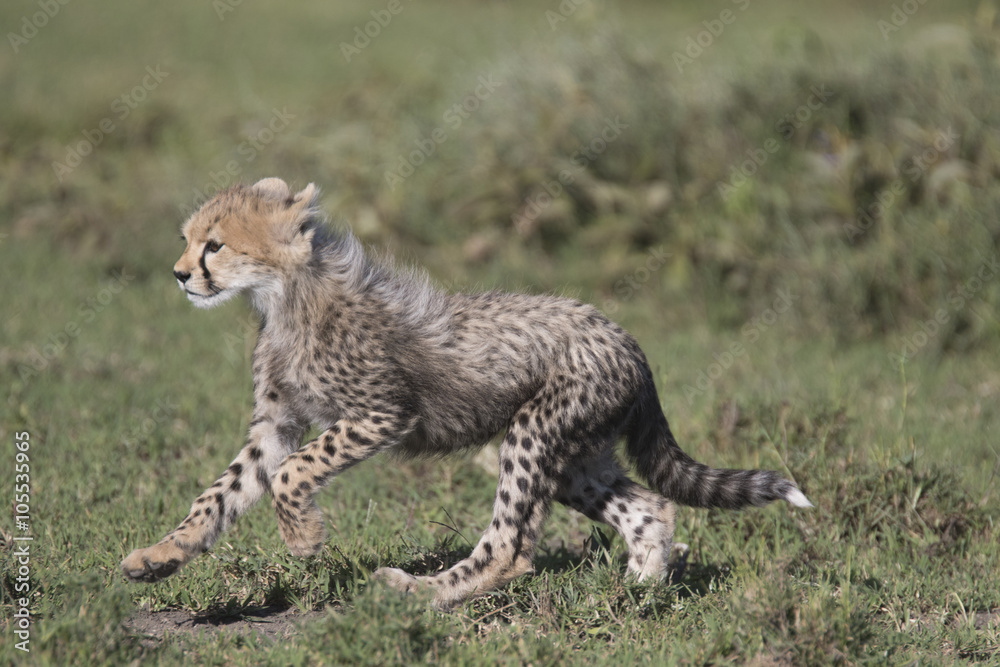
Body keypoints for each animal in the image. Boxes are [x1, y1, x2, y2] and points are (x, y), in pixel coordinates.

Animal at [121, 177, 811, 609]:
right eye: (188, 240)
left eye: (215, 244)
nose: (179, 275)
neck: (286, 296)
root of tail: (627, 340)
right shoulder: (275, 424)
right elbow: (221, 492)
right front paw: (161, 555)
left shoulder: (383, 412)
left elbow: (294, 472)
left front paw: (303, 538)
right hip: (575, 455)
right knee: (650, 507)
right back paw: (639, 593)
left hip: (533, 432)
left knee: (511, 545)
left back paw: (420, 591)